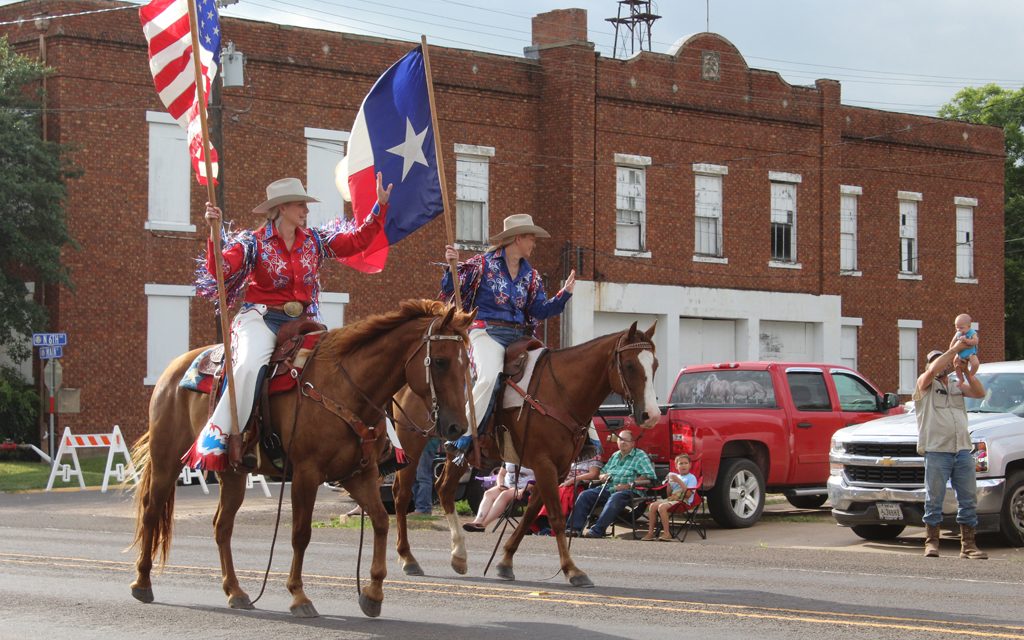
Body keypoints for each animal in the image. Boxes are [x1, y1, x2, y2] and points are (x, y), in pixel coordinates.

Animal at [129, 301, 475, 618]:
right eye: (440, 361)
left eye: (466, 365)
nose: (457, 427)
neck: (346, 388)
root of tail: (175, 367)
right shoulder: (307, 474)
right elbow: (301, 533)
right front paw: (298, 595)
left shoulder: (358, 474)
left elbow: (379, 521)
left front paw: (373, 593)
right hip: (166, 459)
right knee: (151, 511)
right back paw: (142, 582)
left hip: (233, 473)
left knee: (222, 526)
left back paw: (235, 591)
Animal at [387, 321, 659, 585]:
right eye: (630, 365)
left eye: (655, 365)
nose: (652, 415)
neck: (560, 391)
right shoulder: (544, 463)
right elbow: (556, 517)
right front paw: (572, 570)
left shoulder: (557, 469)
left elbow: (530, 513)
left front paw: (505, 562)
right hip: (412, 442)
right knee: (402, 494)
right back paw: (408, 558)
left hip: (460, 455)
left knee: (444, 489)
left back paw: (459, 556)